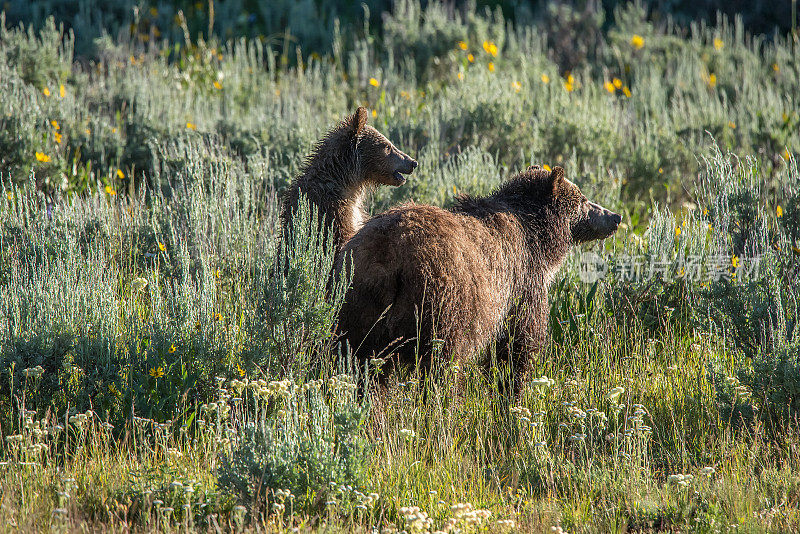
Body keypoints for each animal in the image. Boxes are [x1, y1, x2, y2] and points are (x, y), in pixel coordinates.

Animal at [334, 165, 620, 392]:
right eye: (584, 199)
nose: (615, 216)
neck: (539, 239)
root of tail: (391, 256)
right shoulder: (523, 282)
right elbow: (517, 345)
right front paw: (511, 390)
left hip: (357, 300)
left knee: (356, 362)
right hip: (442, 302)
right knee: (441, 364)